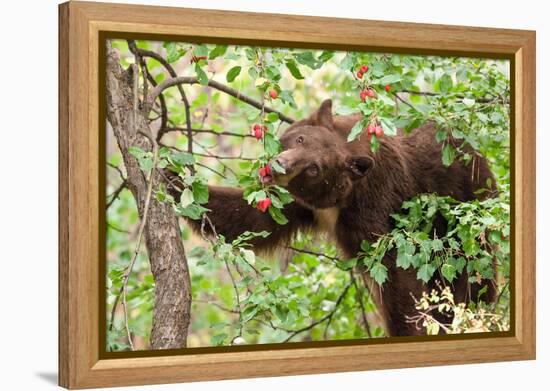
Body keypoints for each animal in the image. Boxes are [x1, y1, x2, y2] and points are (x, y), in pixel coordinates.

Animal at [166, 98, 498, 336]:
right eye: (299, 139)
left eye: (314, 168)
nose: (280, 165)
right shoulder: (300, 204)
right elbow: (252, 219)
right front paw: (172, 177)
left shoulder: (375, 202)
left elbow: (394, 271)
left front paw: (408, 328)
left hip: (466, 210)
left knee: (473, 276)